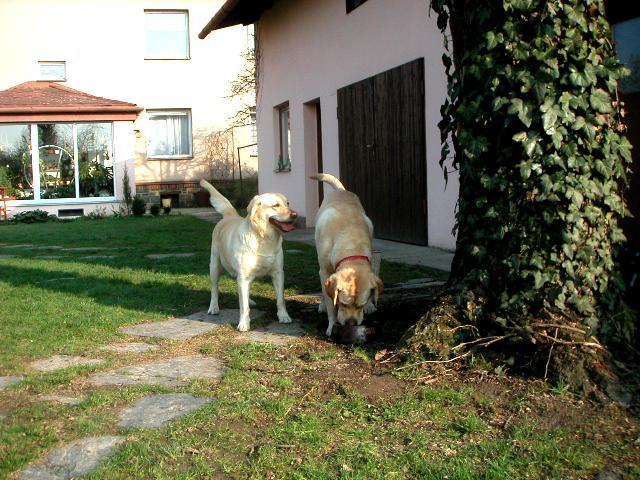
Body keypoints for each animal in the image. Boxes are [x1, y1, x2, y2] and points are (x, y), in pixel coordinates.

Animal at [200, 178, 298, 332]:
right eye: (275, 205)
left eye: (288, 203)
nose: (295, 215)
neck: (263, 238)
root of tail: (230, 215)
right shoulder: (244, 276)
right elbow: (243, 306)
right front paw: (244, 323)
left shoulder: (278, 273)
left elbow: (280, 299)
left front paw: (283, 316)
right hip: (215, 266)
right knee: (215, 288)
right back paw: (214, 307)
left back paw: (250, 300)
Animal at [308, 174, 382, 336]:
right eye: (343, 303)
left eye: (360, 305)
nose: (351, 323)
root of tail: (341, 190)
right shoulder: (325, 271)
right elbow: (331, 303)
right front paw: (331, 325)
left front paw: (368, 305)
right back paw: (322, 305)